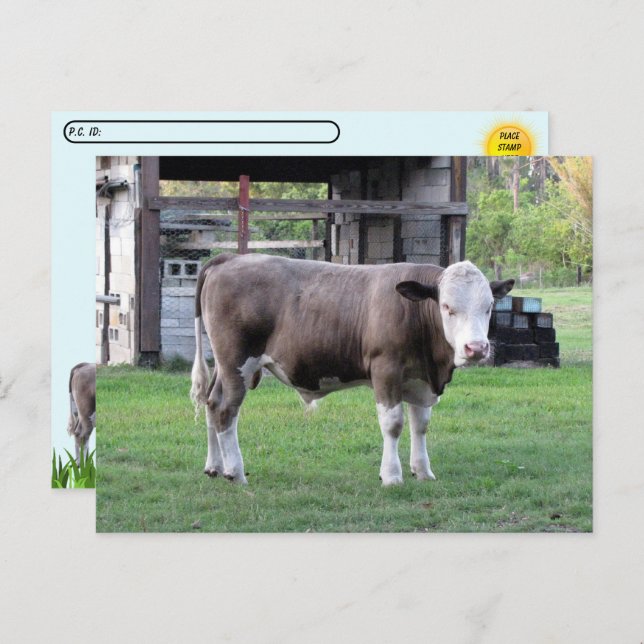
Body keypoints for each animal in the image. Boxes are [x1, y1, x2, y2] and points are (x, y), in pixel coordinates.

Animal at [190, 254, 514, 486]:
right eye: (447, 307)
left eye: (489, 306)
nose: (476, 348)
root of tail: (230, 258)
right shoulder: (386, 369)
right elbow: (393, 424)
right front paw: (391, 476)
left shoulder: (420, 379)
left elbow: (420, 424)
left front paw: (422, 471)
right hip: (237, 362)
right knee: (226, 411)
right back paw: (235, 472)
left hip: (223, 365)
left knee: (212, 403)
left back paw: (214, 466)